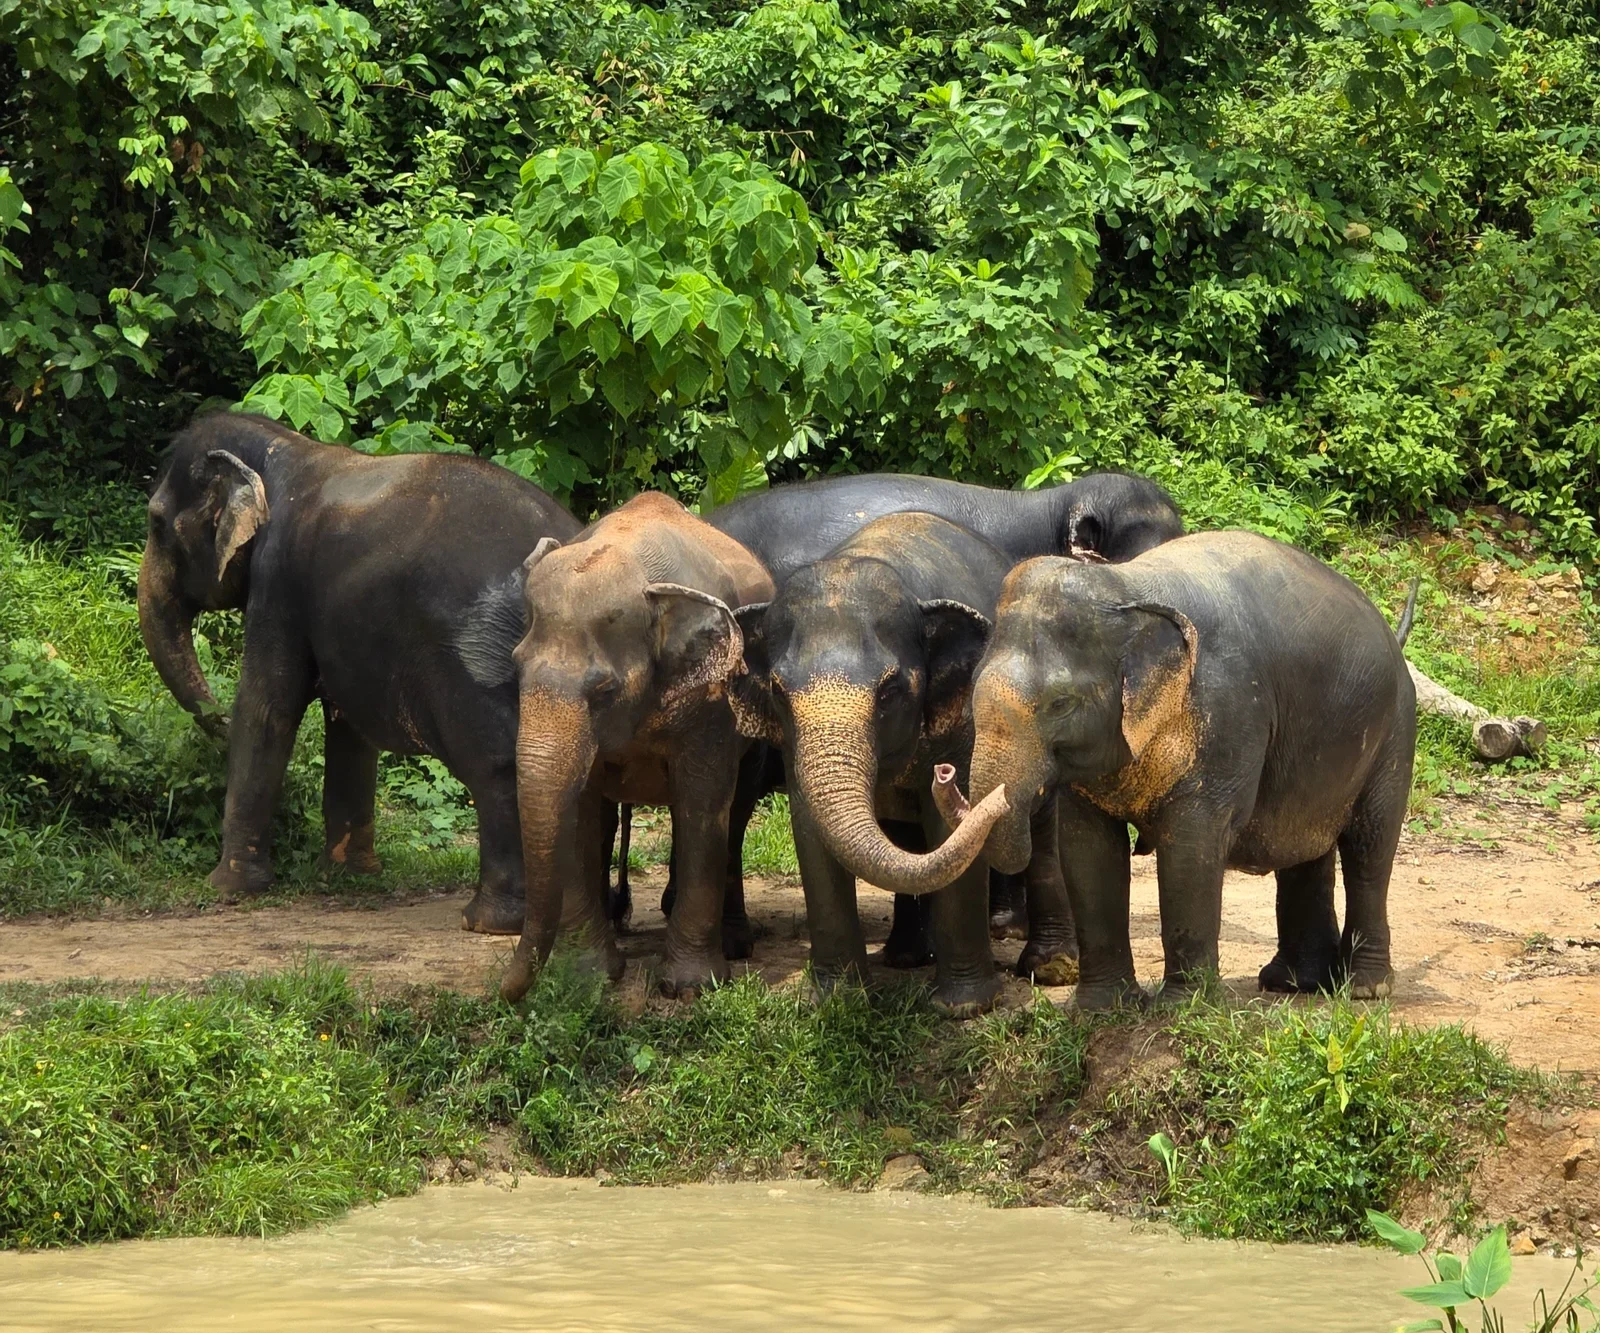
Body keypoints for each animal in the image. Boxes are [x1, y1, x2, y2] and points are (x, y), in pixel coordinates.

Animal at [137, 411, 582, 933]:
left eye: (156, 522)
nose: (214, 718)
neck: (282, 448)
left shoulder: (279, 579)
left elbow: (266, 708)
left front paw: (228, 888)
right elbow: (346, 723)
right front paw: (347, 875)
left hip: (480, 652)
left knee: (495, 766)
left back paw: (489, 922)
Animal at [500, 491, 775, 1004]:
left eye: (605, 691)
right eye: (516, 669)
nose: (503, 994)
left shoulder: (712, 702)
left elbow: (703, 801)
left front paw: (689, 989)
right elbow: (581, 811)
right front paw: (587, 980)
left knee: (735, 808)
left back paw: (732, 945)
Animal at [727, 511, 1029, 1015]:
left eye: (890, 691)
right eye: (777, 691)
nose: (944, 776)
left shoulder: (965, 720)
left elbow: (946, 829)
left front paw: (963, 1008)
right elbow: (811, 831)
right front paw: (837, 1002)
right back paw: (906, 957)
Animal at [949, 530, 1417, 1011]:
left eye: (1061, 704)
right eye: (974, 684)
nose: (945, 773)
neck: (1127, 587)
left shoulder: (1225, 715)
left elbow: (1191, 843)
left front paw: (1181, 1008)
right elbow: (1086, 849)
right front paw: (1099, 1009)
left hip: (1396, 729)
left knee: (1368, 846)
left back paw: (1364, 988)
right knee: (1304, 850)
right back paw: (1293, 983)